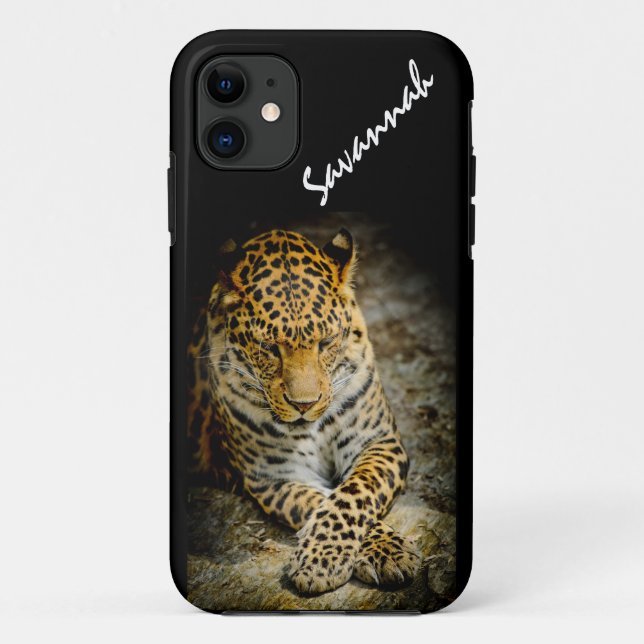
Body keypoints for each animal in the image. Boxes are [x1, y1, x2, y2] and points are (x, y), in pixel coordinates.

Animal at [187, 228, 420, 594]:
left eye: (325, 343)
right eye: (269, 347)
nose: (304, 405)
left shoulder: (379, 442)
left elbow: (352, 494)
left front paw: (382, 551)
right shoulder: (275, 477)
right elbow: (321, 502)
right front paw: (329, 559)